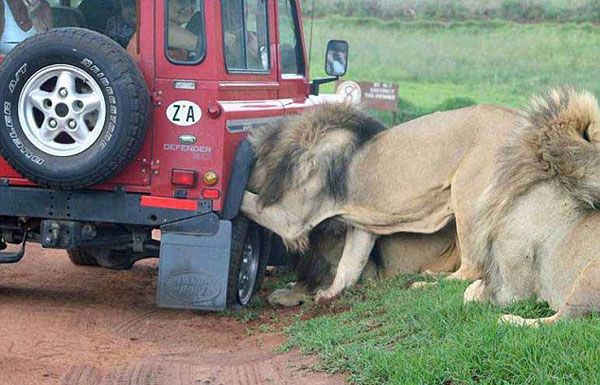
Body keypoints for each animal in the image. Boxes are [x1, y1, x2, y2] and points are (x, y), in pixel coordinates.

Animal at [241, 102, 516, 304]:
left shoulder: (292, 219)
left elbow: (248, 200)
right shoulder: (362, 226)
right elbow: (350, 264)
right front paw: (329, 294)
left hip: (466, 199)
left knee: (473, 269)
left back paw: (424, 283)